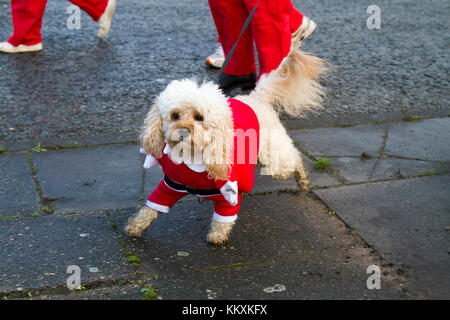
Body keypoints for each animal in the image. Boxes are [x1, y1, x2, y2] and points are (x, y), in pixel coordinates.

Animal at [125, 43, 326, 244]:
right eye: (175, 115)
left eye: (199, 117)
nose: (182, 131)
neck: (191, 157)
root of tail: (256, 97)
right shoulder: (170, 186)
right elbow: (150, 208)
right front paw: (135, 227)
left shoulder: (229, 191)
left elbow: (223, 219)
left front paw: (217, 236)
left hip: (274, 158)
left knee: (295, 158)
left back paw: (303, 180)